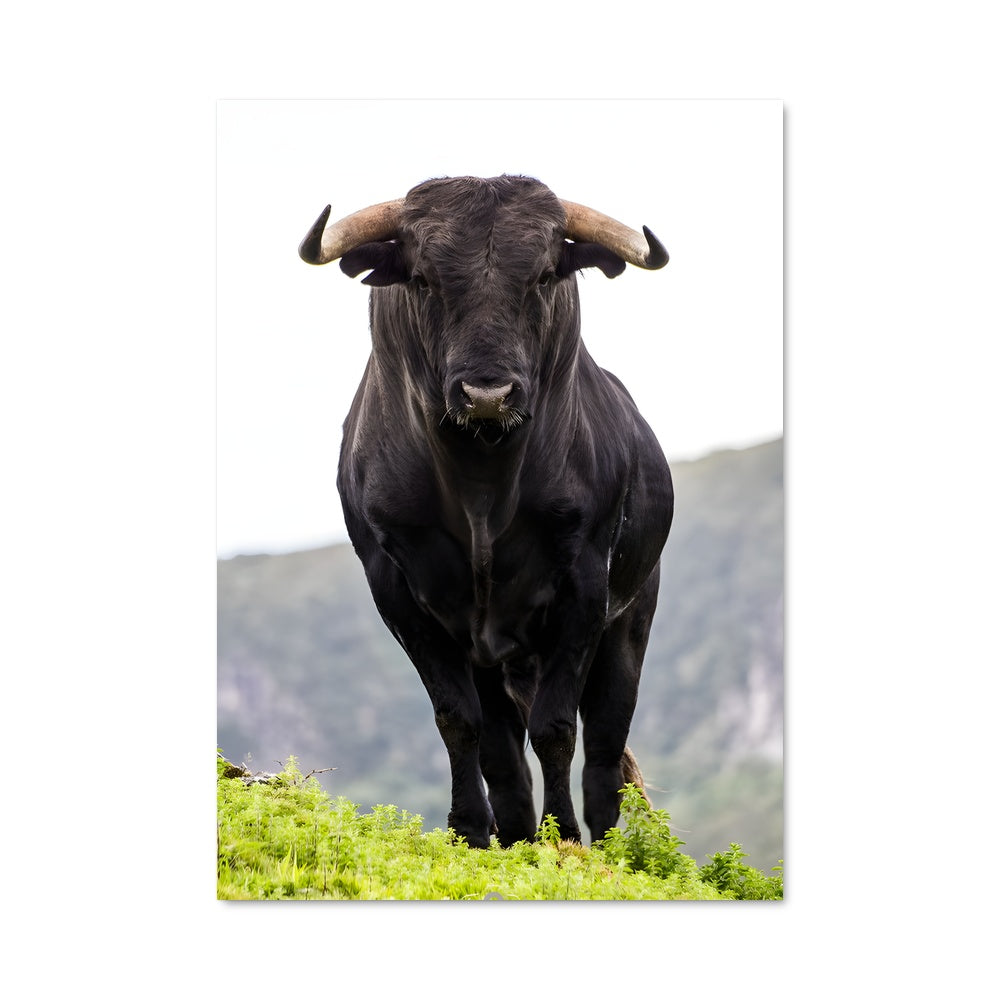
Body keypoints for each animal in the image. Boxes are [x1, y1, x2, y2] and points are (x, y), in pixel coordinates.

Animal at [299, 175, 673, 849]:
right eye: (423, 278)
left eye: (545, 274)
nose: (488, 394)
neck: (481, 483)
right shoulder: (400, 593)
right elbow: (458, 721)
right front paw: (470, 831)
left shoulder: (584, 588)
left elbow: (557, 728)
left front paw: (565, 839)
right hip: (495, 655)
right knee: (505, 758)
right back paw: (517, 834)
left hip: (629, 623)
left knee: (606, 751)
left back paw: (603, 844)